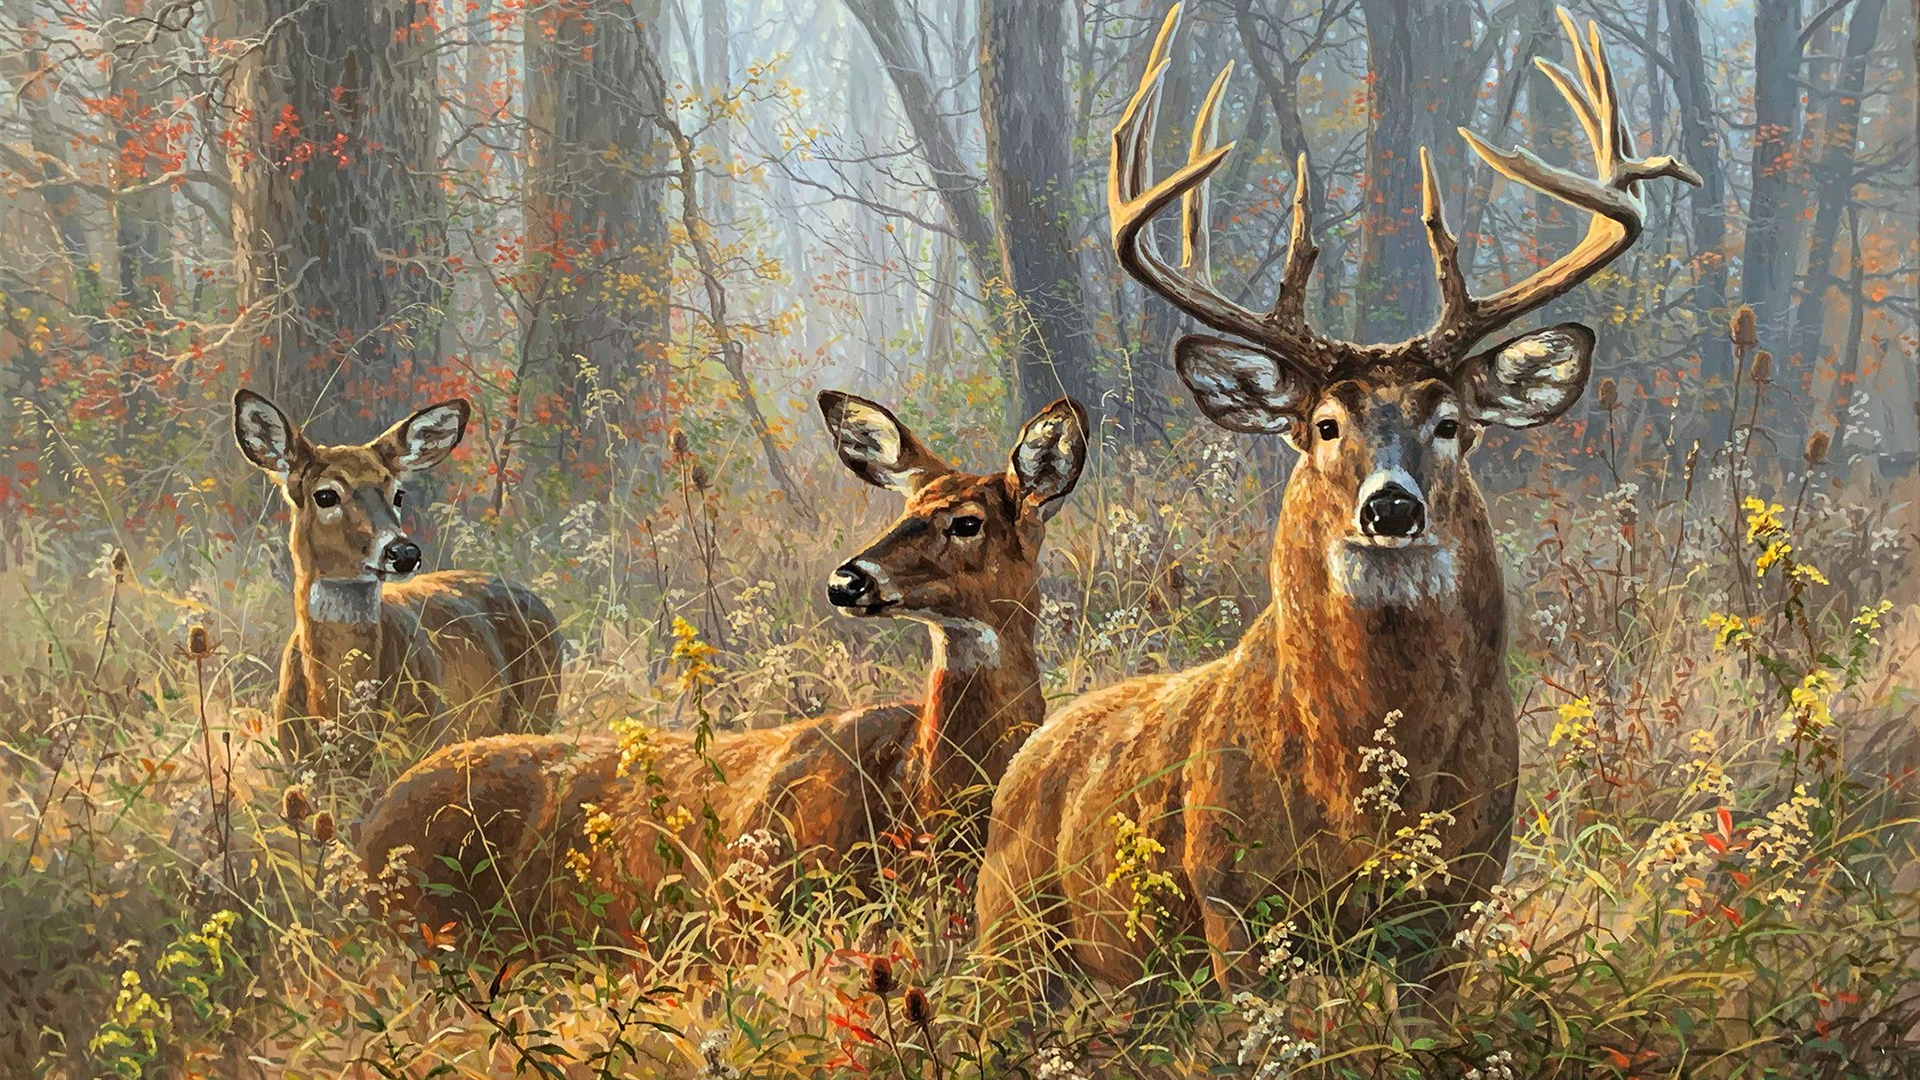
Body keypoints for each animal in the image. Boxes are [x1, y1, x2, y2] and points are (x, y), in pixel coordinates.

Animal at [976, 6, 1699, 1001]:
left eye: (1451, 422)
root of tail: (1028, 755)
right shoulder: (1228, 897)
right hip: (1009, 940)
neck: (1364, 796)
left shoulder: (1460, 901)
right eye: (1323, 424)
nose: (1390, 509)